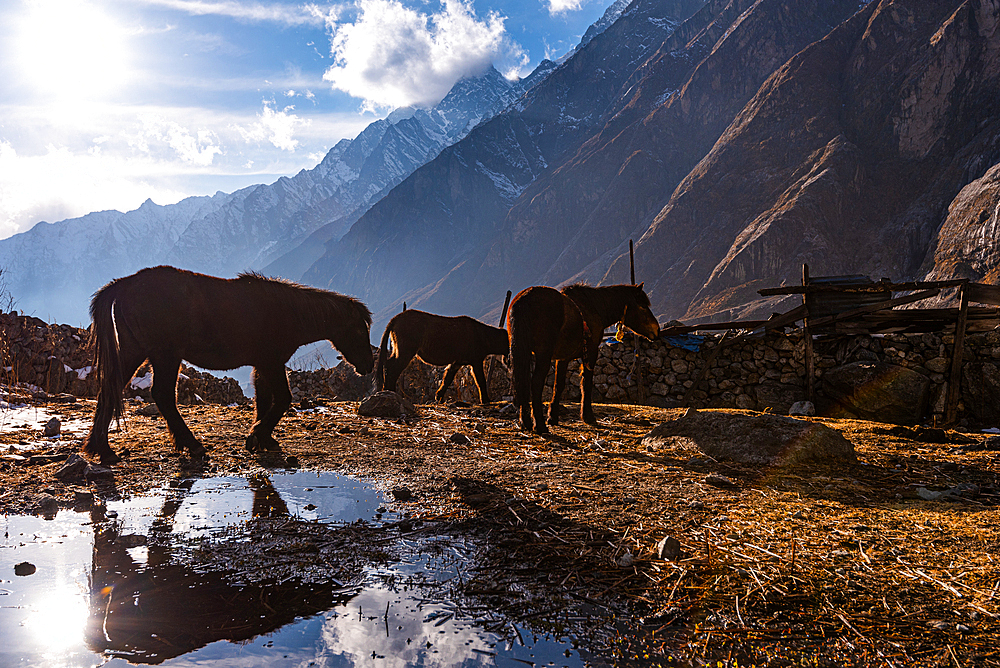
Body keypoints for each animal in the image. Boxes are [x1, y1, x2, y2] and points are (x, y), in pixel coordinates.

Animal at [84, 266, 374, 464]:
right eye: (359, 330)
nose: (369, 366)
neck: (289, 311)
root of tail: (123, 285)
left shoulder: (262, 365)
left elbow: (263, 400)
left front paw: (263, 439)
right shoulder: (272, 362)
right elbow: (282, 399)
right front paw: (257, 435)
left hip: (138, 352)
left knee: (112, 389)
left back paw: (102, 449)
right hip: (164, 355)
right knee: (162, 395)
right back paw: (192, 445)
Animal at [378, 308, 512, 402]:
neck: (485, 336)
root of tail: (395, 318)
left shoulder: (457, 362)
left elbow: (447, 379)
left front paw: (439, 397)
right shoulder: (476, 362)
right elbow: (481, 380)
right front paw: (486, 400)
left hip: (399, 349)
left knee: (389, 364)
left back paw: (388, 391)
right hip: (406, 351)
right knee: (393, 368)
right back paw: (390, 391)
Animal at [512, 284, 660, 436]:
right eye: (642, 306)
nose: (657, 330)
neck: (594, 307)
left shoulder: (563, 358)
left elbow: (558, 386)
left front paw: (552, 417)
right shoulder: (591, 352)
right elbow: (586, 383)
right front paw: (588, 416)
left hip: (523, 352)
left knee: (522, 382)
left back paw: (526, 422)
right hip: (543, 355)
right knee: (535, 384)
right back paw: (540, 426)